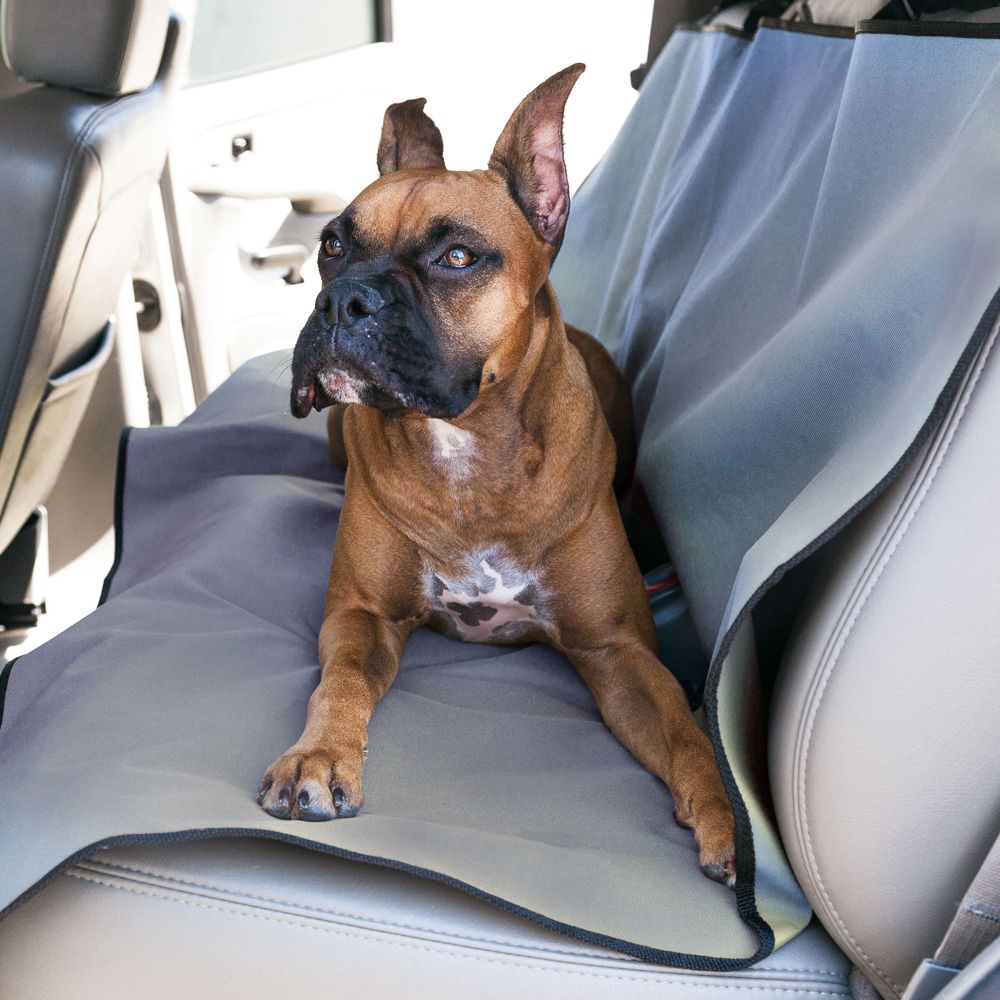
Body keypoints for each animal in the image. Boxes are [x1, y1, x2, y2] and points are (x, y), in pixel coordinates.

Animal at [262, 66, 740, 888]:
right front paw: (318, 758)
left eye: (456, 257)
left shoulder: (617, 652)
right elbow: (341, 683)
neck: (469, 450)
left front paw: (723, 817)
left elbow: (685, 733)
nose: (343, 299)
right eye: (332, 244)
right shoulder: (362, 617)